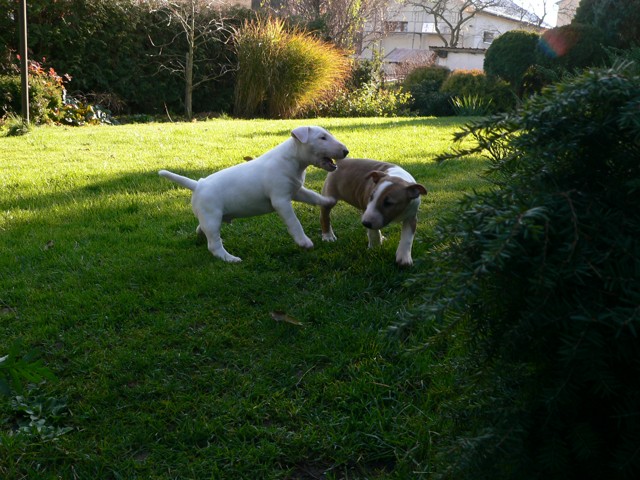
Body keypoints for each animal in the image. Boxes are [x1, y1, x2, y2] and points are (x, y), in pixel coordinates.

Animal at [159, 126, 348, 262]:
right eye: (322, 138)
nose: (346, 151)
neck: (292, 159)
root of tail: (198, 184)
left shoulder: (297, 191)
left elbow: (313, 197)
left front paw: (329, 200)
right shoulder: (280, 200)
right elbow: (294, 222)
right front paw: (304, 242)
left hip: (209, 218)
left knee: (202, 229)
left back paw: (202, 237)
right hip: (212, 216)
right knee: (213, 244)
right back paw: (230, 259)